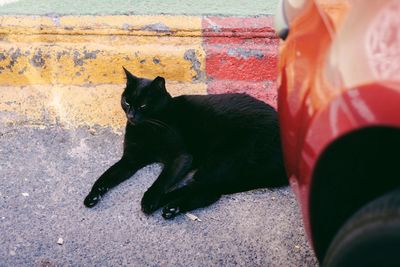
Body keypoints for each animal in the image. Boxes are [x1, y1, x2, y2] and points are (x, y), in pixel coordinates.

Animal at [84, 67, 290, 220]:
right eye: (126, 102)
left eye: (143, 106)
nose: (131, 116)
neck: (146, 129)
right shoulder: (131, 159)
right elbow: (107, 175)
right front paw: (92, 195)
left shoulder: (181, 157)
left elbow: (162, 179)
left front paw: (150, 199)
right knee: (210, 191)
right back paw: (171, 208)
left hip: (222, 160)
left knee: (200, 187)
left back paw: (166, 204)